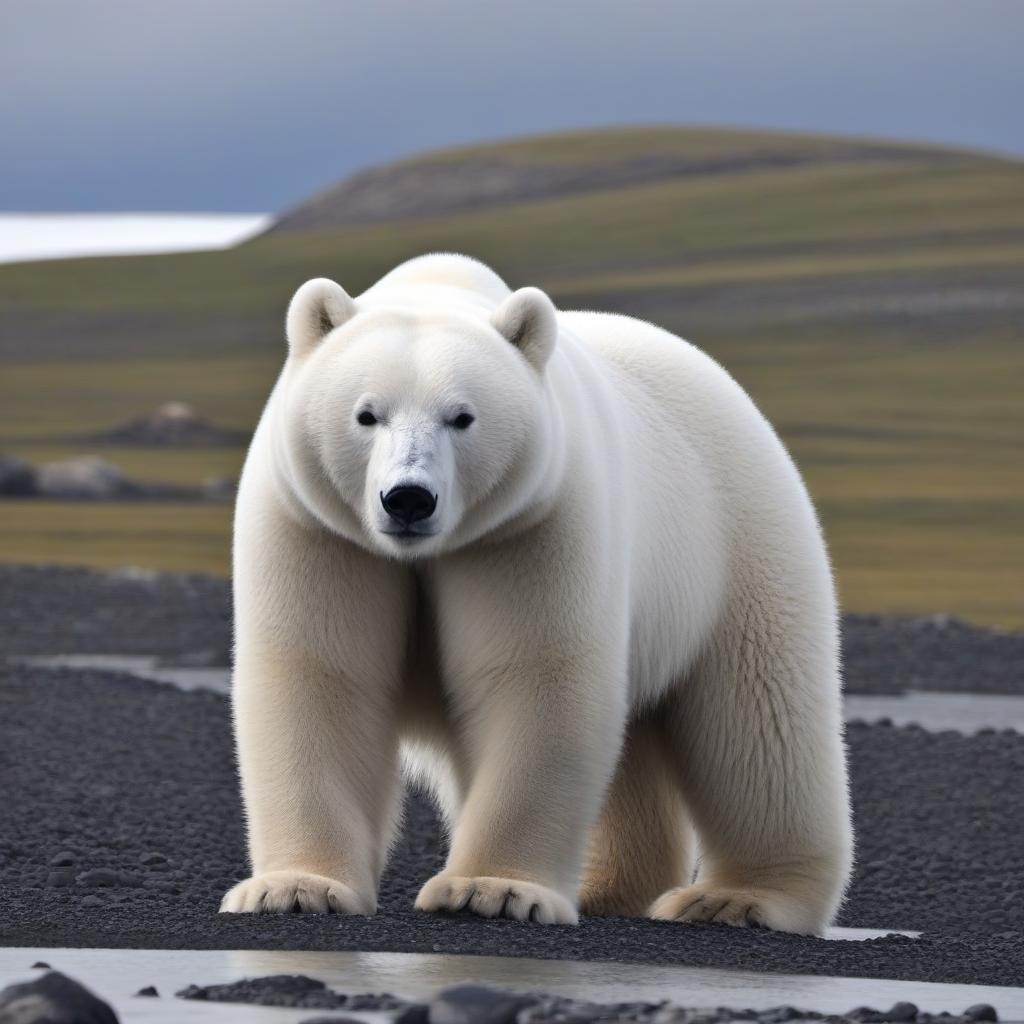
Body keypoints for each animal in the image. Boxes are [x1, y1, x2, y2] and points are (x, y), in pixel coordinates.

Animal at [220, 251, 851, 933]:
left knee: (758, 720)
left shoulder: (530, 527)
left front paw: (490, 890)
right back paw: (609, 888)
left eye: (462, 416)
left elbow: (531, 678)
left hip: (737, 539)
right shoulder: (321, 532)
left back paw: (739, 898)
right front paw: (294, 887)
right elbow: (321, 677)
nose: (408, 498)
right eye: (366, 414)